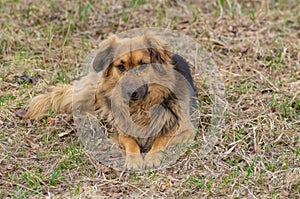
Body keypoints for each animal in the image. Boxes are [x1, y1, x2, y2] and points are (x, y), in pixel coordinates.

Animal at [24, 31, 197, 169]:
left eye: (143, 65)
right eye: (120, 67)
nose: (131, 92)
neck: (140, 108)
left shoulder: (186, 130)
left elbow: (161, 139)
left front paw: (152, 157)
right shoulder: (122, 132)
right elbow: (130, 142)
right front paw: (134, 159)